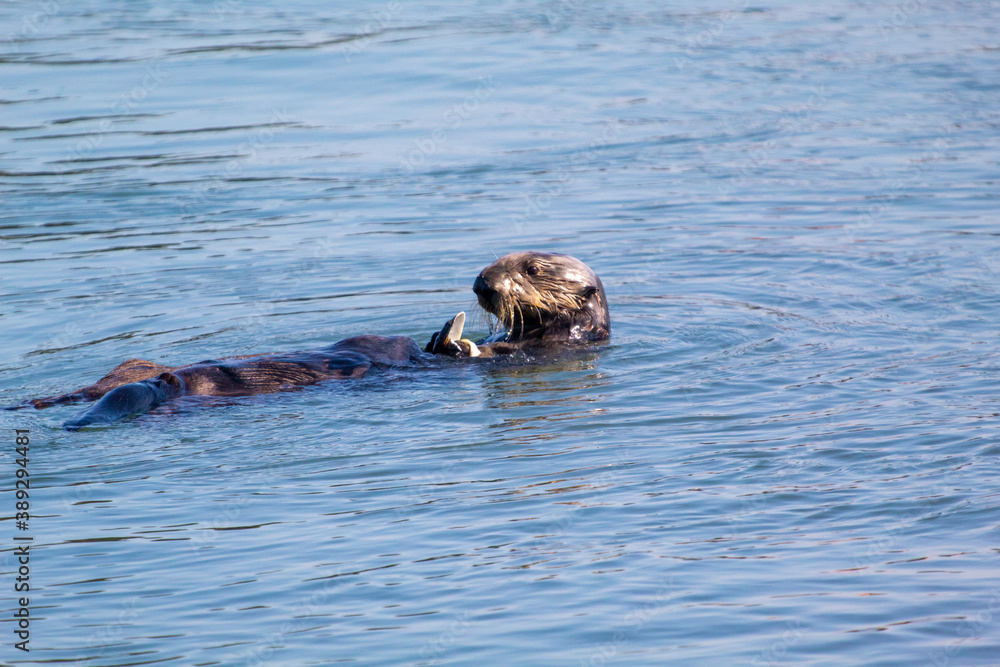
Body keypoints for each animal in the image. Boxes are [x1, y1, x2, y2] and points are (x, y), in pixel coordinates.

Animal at [18, 251, 609, 429]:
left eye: (530, 268)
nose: (482, 282)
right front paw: (442, 335)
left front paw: (451, 341)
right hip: (138, 366)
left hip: (187, 386)